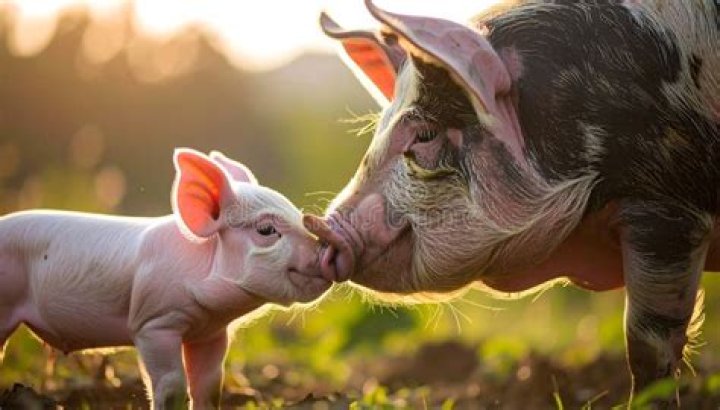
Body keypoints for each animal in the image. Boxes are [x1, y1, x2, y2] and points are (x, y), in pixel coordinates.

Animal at [0, 148, 331, 409]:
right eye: (266, 230)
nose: (324, 250)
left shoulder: (210, 333)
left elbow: (210, 386)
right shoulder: (153, 323)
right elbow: (171, 385)